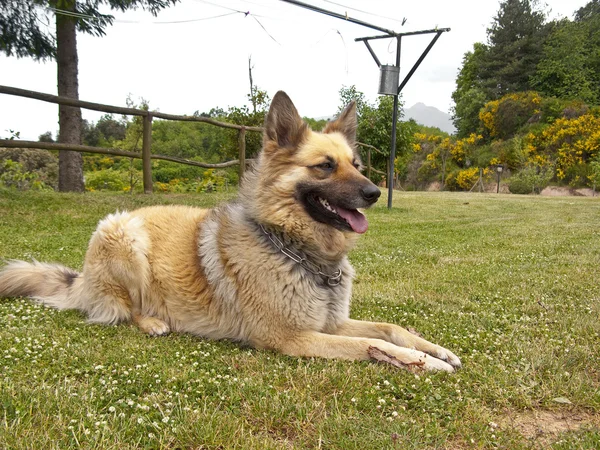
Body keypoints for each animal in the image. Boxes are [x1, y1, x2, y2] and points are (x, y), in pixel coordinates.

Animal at [0, 91, 460, 372]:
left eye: (357, 165)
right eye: (325, 166)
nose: (374, 192)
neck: (296, 249)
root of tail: (81, 279)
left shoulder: (329, 323)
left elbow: (391, 329)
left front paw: (437, 349)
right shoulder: (292, 336)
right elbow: (372, 345)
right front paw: (426, 363)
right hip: (122, 235)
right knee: (122, 309)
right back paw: (152, 322)